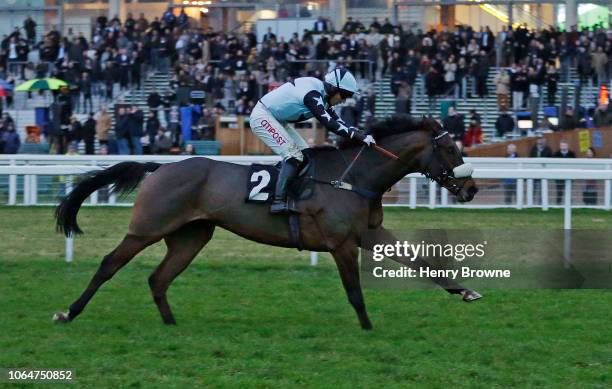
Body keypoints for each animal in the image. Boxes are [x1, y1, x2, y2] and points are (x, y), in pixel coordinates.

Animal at [52, 114, 480, 328]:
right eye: (449, 148)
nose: (471, 189)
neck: (353, 177)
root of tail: (161, 167)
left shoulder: (371, 233)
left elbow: (420, 262)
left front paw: (465, 291)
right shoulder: (341, 244)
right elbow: (354, 291)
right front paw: (367, 327)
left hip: (191, 236)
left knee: (158, 278)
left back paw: (172, 325)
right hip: (147, 228)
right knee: (109, 264)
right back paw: (68, 312)